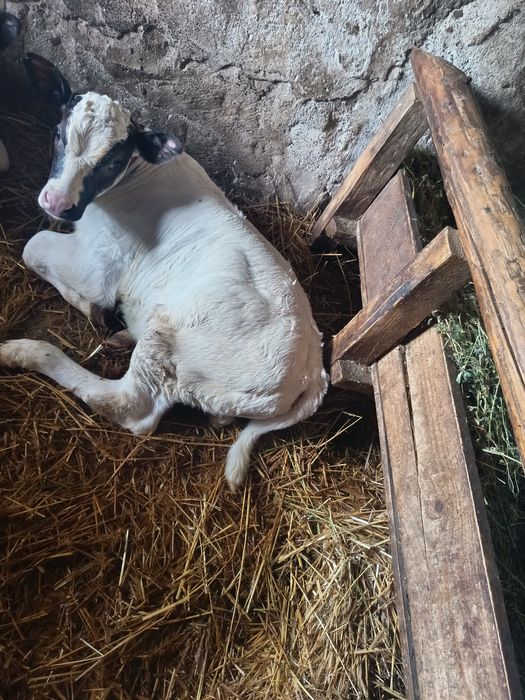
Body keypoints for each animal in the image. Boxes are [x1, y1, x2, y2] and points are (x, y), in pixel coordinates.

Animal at [0, 53, 329, 490]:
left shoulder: (100, 264)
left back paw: (24, 351)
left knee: (130, 407)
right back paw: (123, 337)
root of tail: (313, 369)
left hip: (170, 340)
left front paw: (90, 308)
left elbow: (33, 247)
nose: (57, 203)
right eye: (58, 134)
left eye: (112, 161)